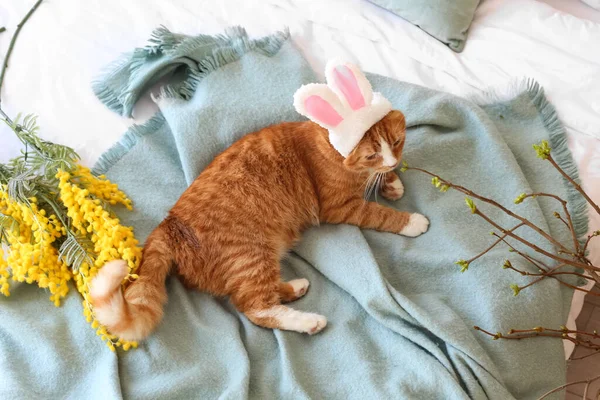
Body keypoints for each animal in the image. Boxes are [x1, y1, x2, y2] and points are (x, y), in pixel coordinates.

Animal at [89, 110, 428, 340]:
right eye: (371, 154)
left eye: (397, 142)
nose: (392, 162)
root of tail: (168, 224)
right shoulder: (340, 207)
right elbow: (378, 214)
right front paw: (410, 219)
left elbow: (380, 184)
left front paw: (392, 182)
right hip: (250, 255)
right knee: (255, 308)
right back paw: (308, 321)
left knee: (254, 296)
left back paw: (294, 286)